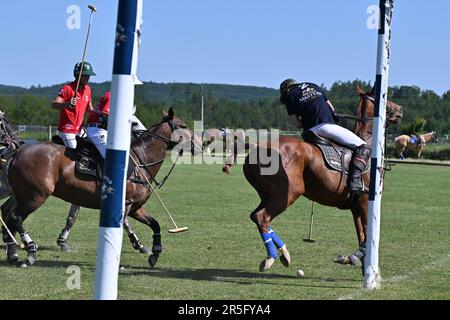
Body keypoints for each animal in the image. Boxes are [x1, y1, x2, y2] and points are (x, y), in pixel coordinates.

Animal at [0, 108, 200, 268]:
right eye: (183, 125)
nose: (200, 144)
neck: (141, 161)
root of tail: (17, 152)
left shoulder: (136, 207)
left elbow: (155, 224)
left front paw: (154, 252)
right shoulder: (126, 206)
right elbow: (123, 228)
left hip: (23, 194)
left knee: (9, 215)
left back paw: (13, 253)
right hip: (35, 196)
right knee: (16, 217)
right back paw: (30, 251)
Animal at [243, 86, 404, 274]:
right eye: (385, 98)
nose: (400, 109)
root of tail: (257, 149)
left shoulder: (356, 206)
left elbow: (361, 235)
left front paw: (361, 264)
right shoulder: (365, 201)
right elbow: (366, 236)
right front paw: (355, 259)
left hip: (267, 194)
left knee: (256, 217)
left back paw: (284, 253)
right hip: (287, 193)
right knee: (262, 217)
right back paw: (272, 257)